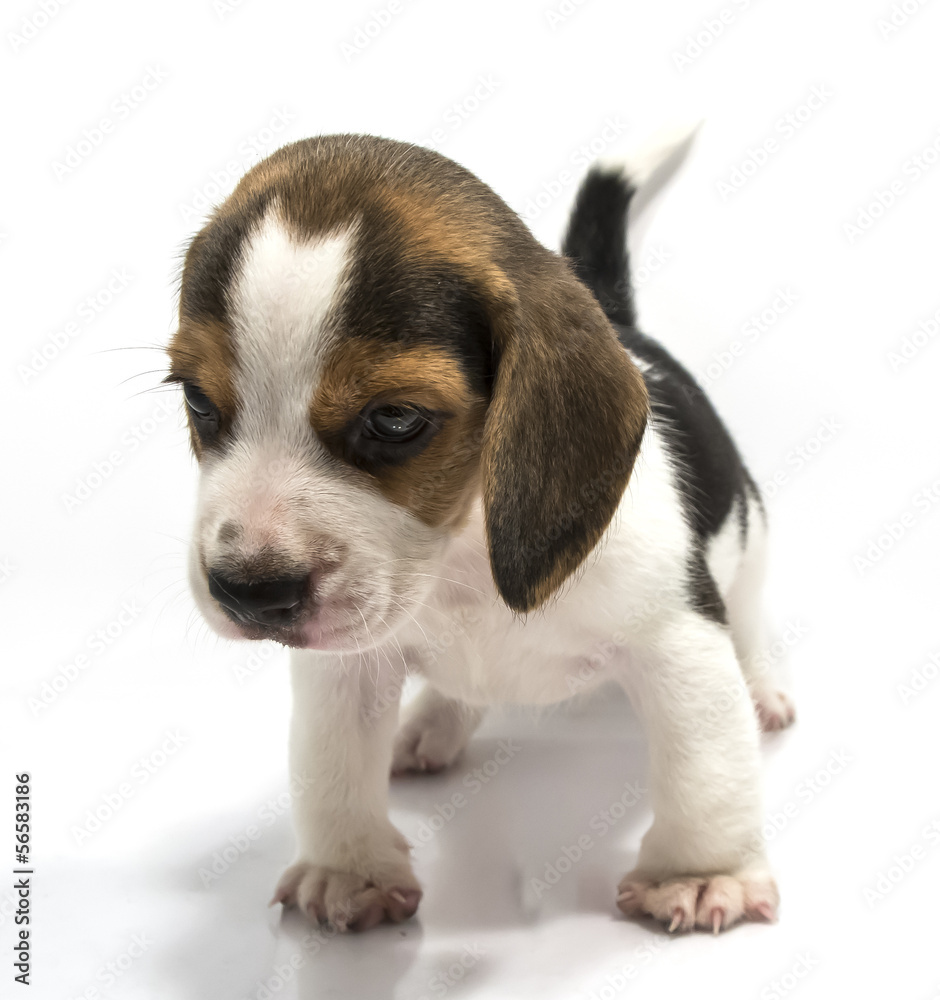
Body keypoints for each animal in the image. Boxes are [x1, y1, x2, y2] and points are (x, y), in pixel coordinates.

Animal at [167, 129, 792, 932]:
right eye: (196, 399)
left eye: (395, 419)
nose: (248, 593)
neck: (461, 556)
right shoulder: (345, 667)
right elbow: (331, 765)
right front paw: (346, 872)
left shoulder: (677, 642)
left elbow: (705, 769)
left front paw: (701, 873)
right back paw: (431, 725)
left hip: (752, 538)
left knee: (751, 621)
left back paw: (764, 689)